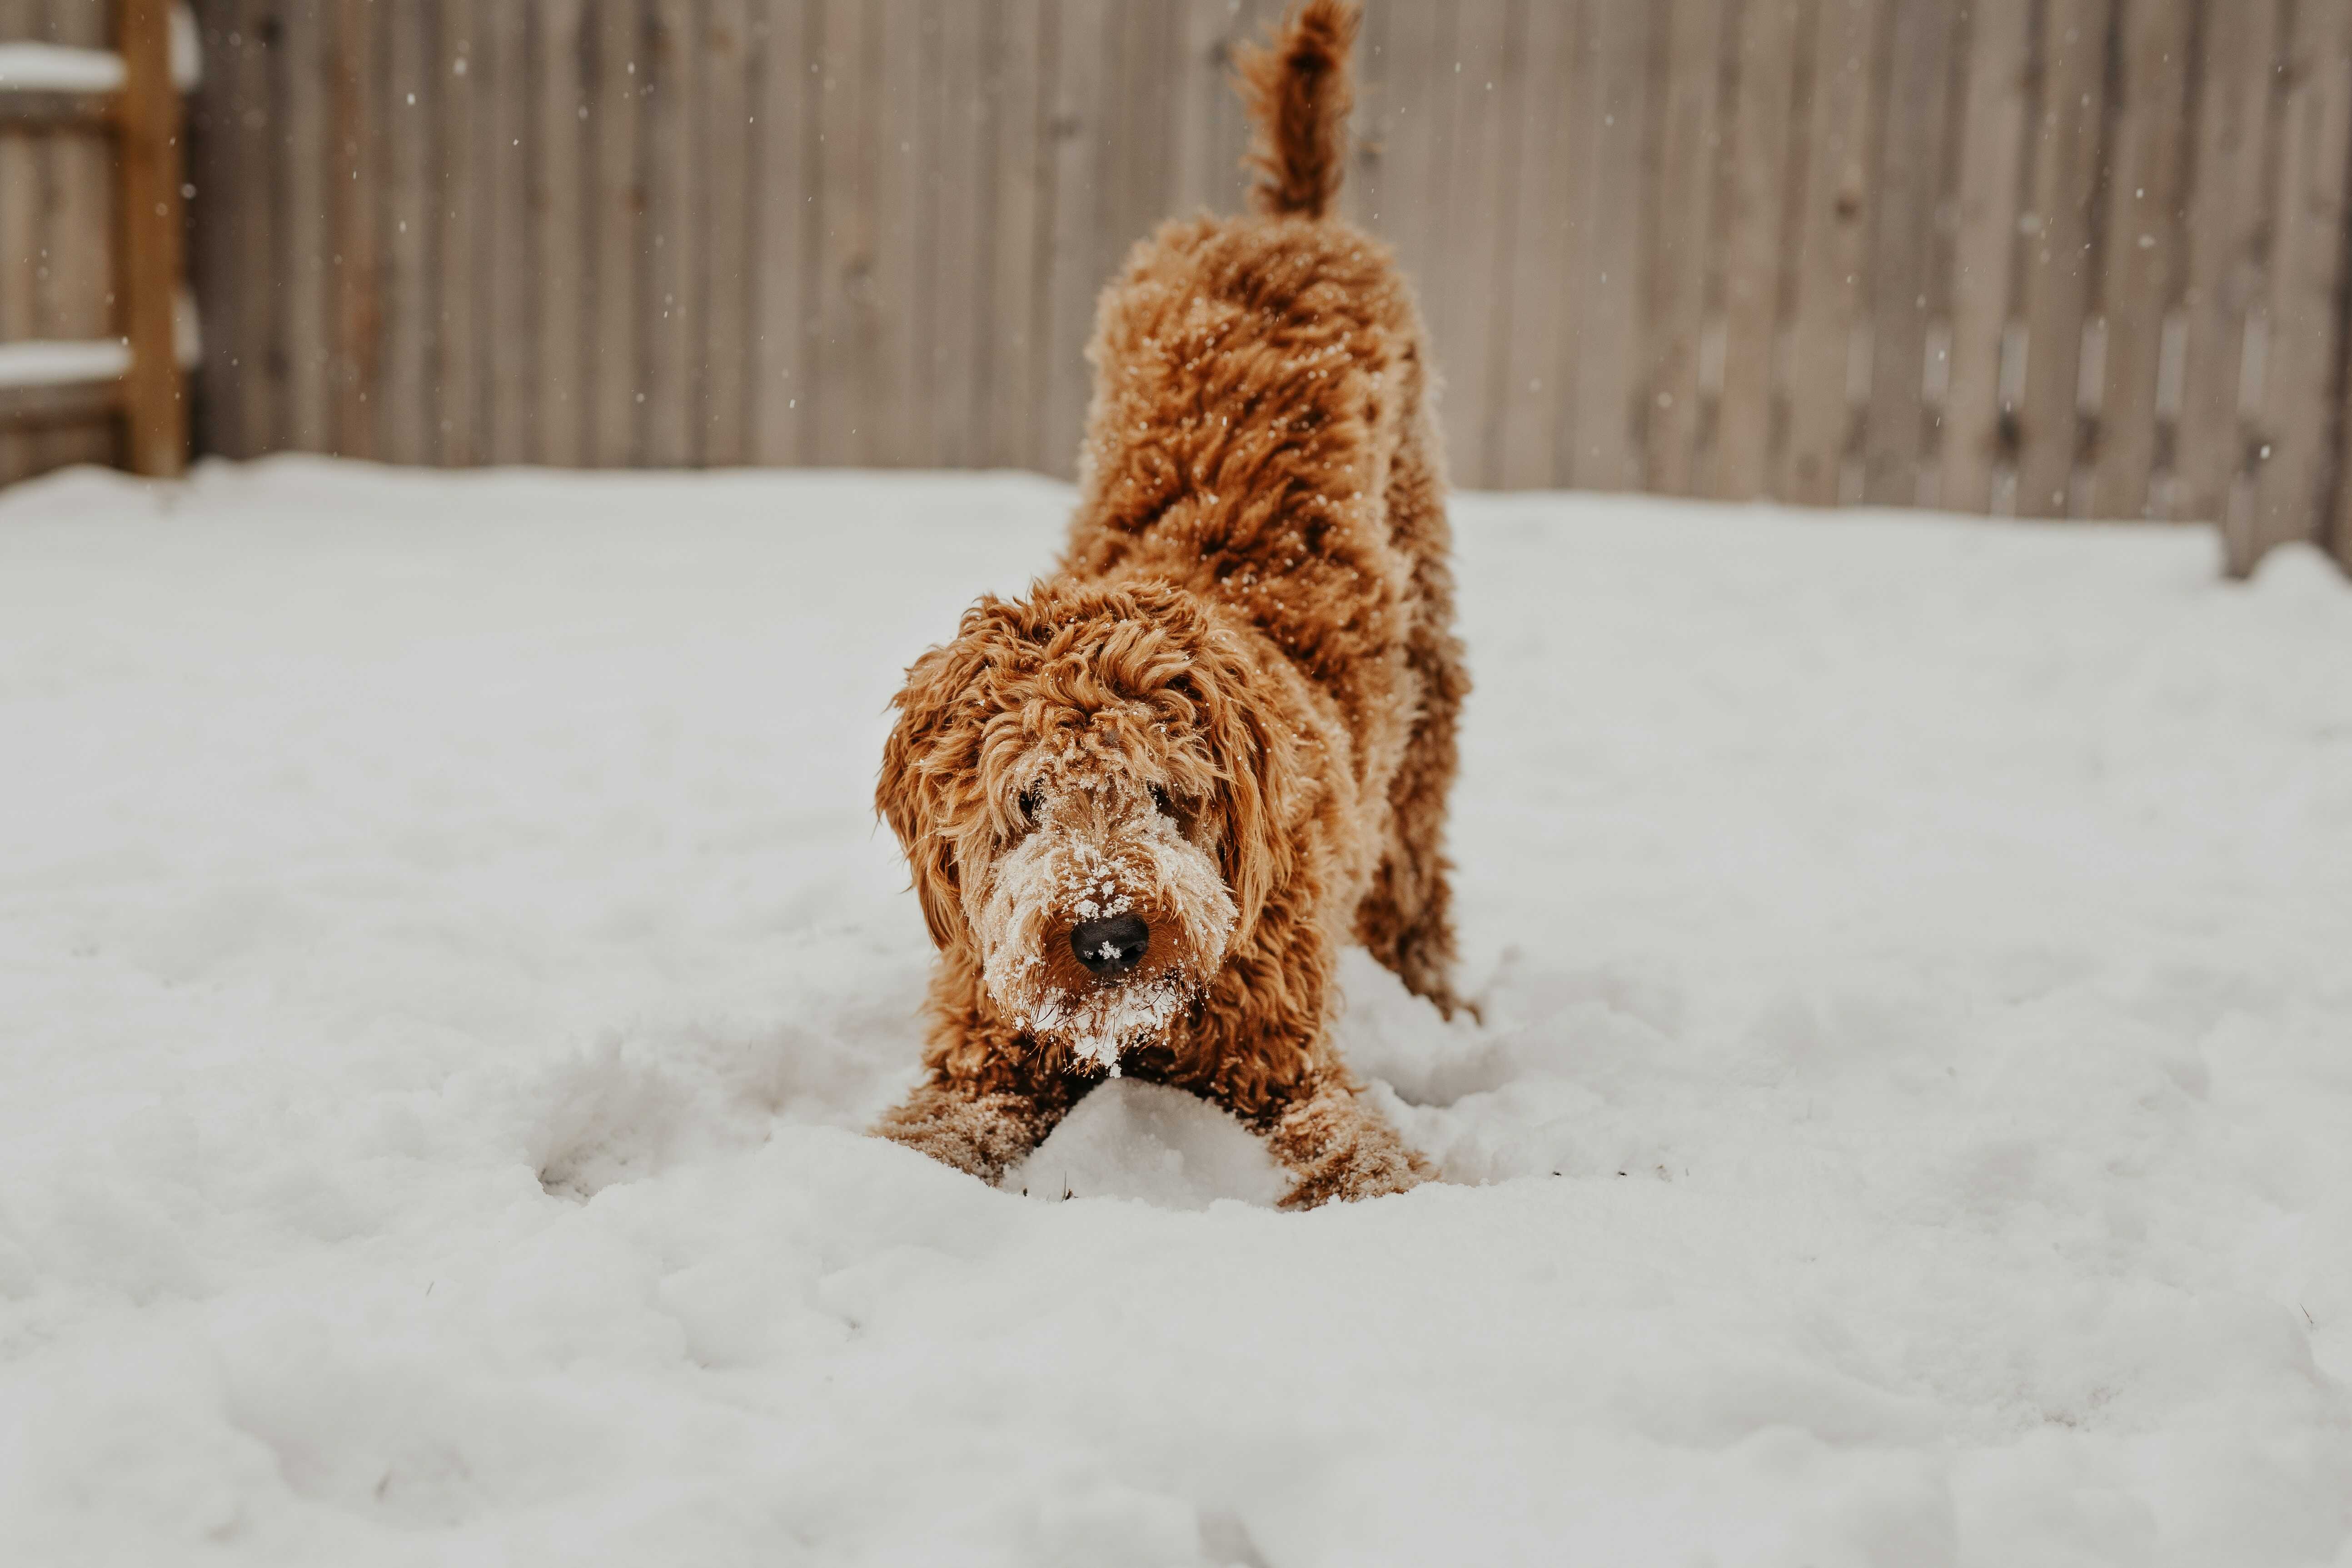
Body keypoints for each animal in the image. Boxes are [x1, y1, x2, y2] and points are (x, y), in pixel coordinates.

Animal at [884, 0, 1467, 1213]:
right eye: (1026, 801)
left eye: (1167, 792)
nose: (1109, 934)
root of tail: (1283, 222)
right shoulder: (985, 1044)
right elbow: (932, 1132)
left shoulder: (1285, 1056)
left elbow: (1354, 1152)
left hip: (1428, 657)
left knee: (1415, 857)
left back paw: (1434, 994)